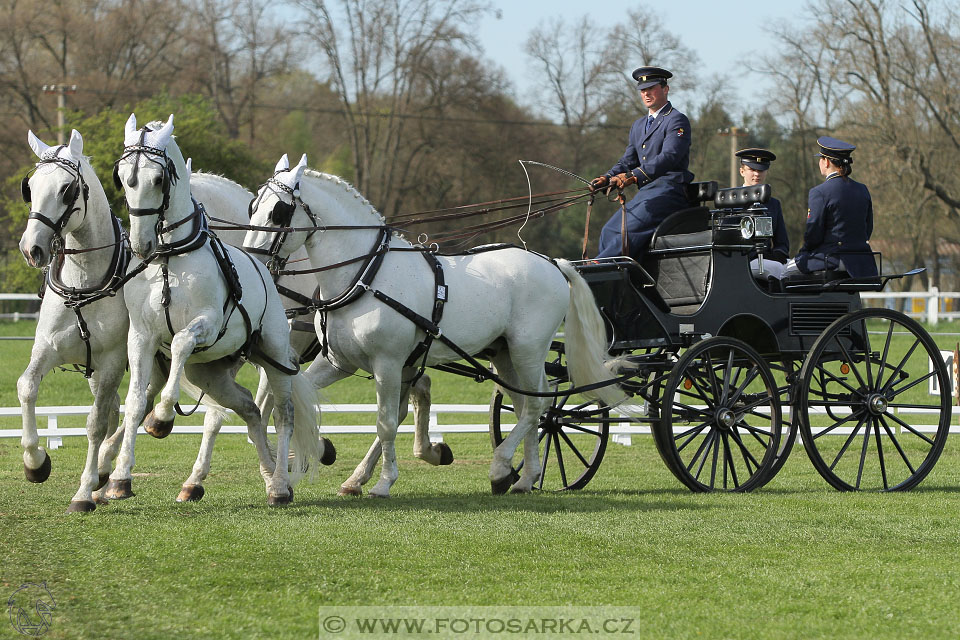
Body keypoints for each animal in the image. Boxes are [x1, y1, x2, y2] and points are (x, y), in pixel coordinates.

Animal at [113, 114, 322, 504]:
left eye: (158, 178)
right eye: (121, 177)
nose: (140, 244)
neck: (170, 259)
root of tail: (266, 272)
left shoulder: (206, 323)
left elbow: (180, 342)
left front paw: (161, 419)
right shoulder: (141, 337)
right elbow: (133, 403)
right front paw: (119, 478)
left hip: (275, 357)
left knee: (282, 414)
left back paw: (280, 485)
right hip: (210, 373)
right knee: (249, 409)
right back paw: (267, 475)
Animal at [244, 158, 628, 498]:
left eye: (278, 211)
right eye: (253, 206)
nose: (252, 261)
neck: (365, 274)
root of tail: (551, 262)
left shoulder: (388, 363)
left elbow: (386, 422)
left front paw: (382, 483)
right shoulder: (338, 362)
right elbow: (296, 401)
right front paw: (315, 465)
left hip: (528, 349)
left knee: (539, 406)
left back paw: (501, 466)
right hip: (504, 354)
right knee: (525, 405)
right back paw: (524, 477)